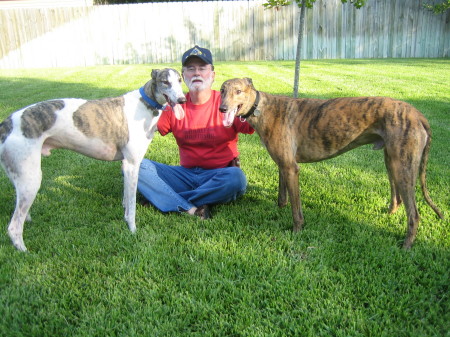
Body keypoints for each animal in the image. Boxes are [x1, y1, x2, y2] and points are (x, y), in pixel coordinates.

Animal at [0, 67, 186, 249]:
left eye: (179, 80)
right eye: (165, 82)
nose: (182, 99)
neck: (144, 104)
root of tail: (6, 123)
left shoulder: (125, 165)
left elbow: (126, 199)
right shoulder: (132, 164)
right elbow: (132, 204)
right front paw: (133, 230)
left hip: (21, 178)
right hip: (31, 179)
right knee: (13, 227)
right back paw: (24, 251)